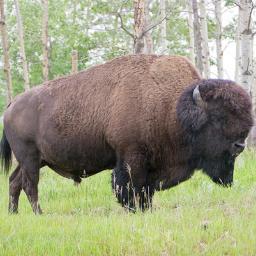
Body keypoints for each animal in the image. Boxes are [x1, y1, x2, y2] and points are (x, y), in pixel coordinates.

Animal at [0, 54, 252, 214]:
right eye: (218, 117)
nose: (240, 145)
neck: (173, 108)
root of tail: (11, 106)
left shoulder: (152, 165)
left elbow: (146, 190)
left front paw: (147, 209)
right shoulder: (131, 156)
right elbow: (129, 185)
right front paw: (133, 209)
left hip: (34, 160)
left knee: (14, 182)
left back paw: (14, 213)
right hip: (30, 158)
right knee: (30, 185)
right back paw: (38, 213)